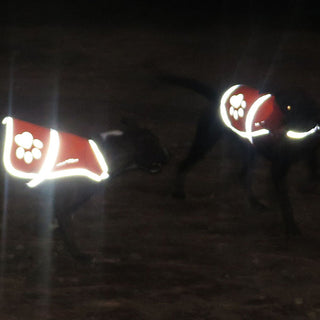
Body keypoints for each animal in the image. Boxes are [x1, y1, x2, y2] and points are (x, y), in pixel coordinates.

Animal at [159, 74, 320, 235]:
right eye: (274, 103)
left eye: (288, 107)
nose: (261, 123)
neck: (299, 132)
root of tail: (216, 97)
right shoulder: (277, 170)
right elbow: (286, 202)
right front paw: (291, 228)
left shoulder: (309, 156)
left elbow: (312, 176)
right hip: (205, 142)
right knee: (184, 164)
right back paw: (178, 193)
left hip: (248, 152)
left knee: (242, 176)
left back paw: (255, 203)